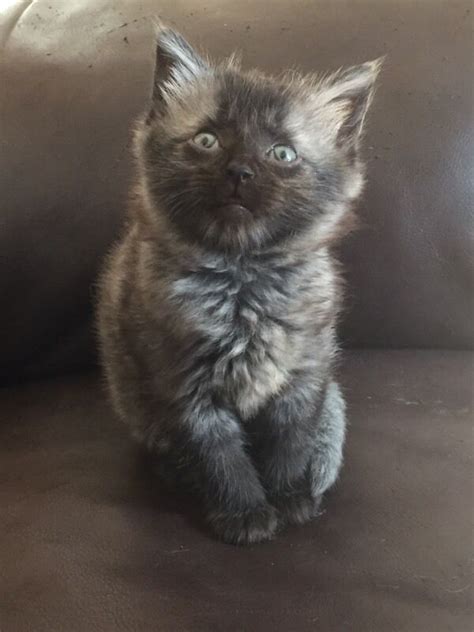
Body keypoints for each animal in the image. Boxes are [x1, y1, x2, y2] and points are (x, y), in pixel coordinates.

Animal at [96, 25, 382, 544]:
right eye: (207, 140)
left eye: (282, 153)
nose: (239, 171)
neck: (243, 282)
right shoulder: (184, 387)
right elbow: (222, 459)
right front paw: (246, 514)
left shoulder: (304, 377)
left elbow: (290, 446)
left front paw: (289, 501)